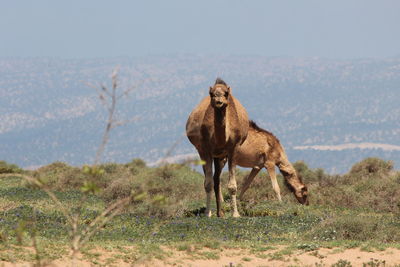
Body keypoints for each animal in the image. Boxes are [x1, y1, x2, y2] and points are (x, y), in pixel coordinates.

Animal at [186, 77, 248, 218]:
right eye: (211, 94)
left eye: (226, 93)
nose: (218, 102)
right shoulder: (205, 149)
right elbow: (207, 184)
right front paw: (207, 213)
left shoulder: (233, 149)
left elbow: (232, 185)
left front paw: (235, 214)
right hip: (207, 154)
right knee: (212, 179)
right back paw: (218, 212)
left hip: (221, 157)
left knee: (217, 178)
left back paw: (221, 212)